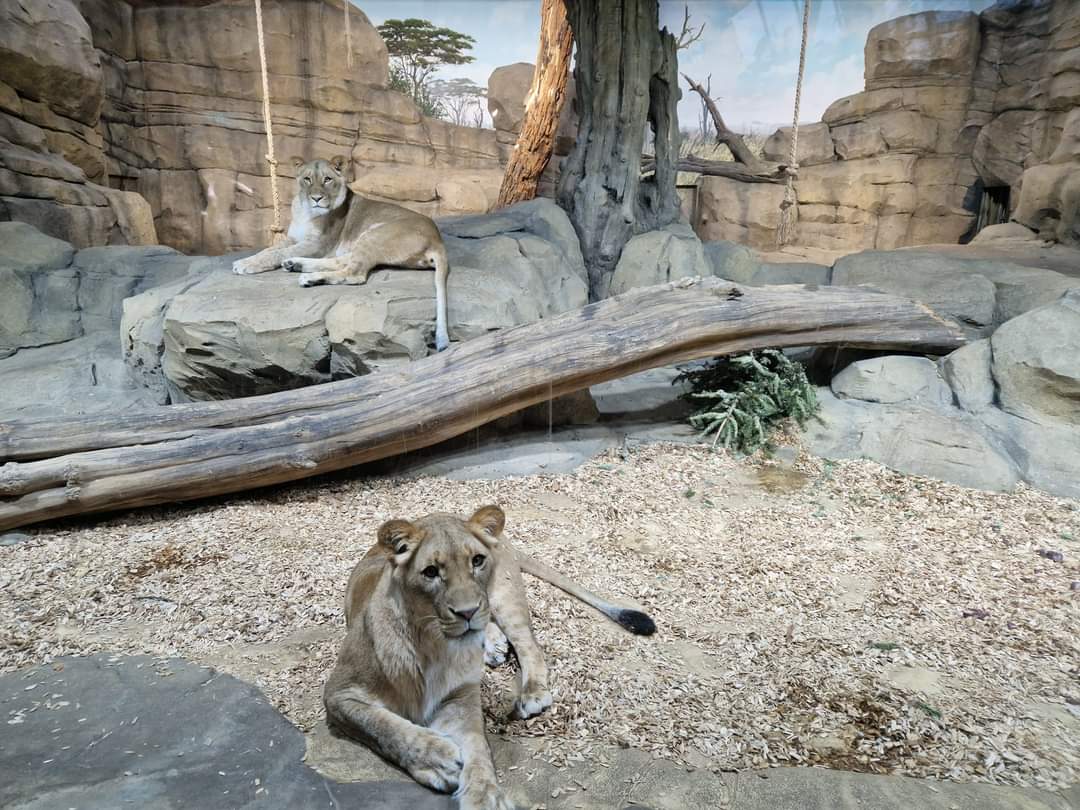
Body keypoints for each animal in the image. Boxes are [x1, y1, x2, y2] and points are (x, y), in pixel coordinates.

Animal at [232, 156, 451, 351]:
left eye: (327, 179)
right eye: (307, 179)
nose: (316, 198)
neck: (305, 211)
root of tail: (438, 239)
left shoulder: (319, 244)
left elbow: (276, 253)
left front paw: (245, 265)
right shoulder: (295, 238)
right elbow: (269, 250)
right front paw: (246, 260)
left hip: (375, 234)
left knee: (355, 274)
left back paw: (309, 277)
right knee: (343, 262)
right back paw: (295, 264)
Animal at [323, 505, 655, 809]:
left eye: (477, 561)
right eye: (431, 572)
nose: (468, 612)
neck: (434, 645)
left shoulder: (459, 697)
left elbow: (478, 748)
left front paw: (484, 796)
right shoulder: (339, 694)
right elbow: (382, 725)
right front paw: (437, 759)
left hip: (504, 598)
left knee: (530, 645)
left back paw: (530, 691)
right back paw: (493, 645)